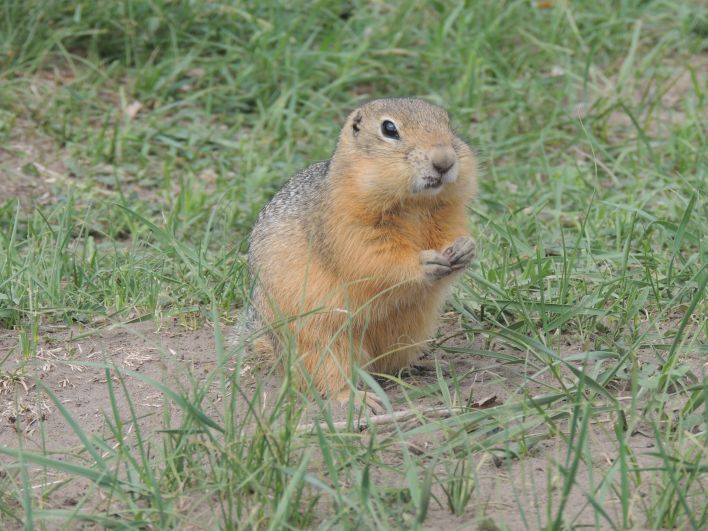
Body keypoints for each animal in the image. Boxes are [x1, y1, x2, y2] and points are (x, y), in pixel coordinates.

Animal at [243, 96, 476, 412]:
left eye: (447, 122)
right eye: (389, 129)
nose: (444, 161)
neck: (414, 204)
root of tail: (278, 354)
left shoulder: (448, 213)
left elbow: (451, 233)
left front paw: (466, 248)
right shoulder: (348, 224)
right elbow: (373, 258)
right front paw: (424, 263)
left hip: (408, 333)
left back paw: (413, 368)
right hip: (320, 339)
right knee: (329, 375)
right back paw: (358, 398)